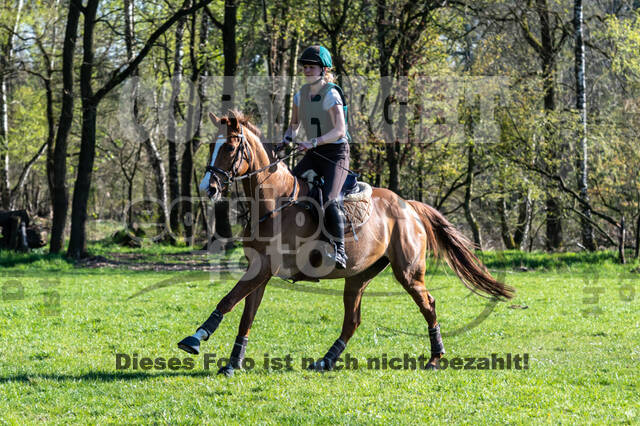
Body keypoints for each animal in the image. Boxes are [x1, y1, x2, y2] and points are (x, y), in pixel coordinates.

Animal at [176, 110, 516, 376]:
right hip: (358, 276)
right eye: (212, 146)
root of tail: (407, 205)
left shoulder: (265, 269)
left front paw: (195, 339)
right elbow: (245, 314)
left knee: (428, 304)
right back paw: (326, 361)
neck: (273, 203)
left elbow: (228, 300)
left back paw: (435, 358)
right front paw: (233, 362)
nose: (208, 187)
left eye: (230, 146)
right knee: (353, 320)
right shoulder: (260, 270)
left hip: (407, 272)